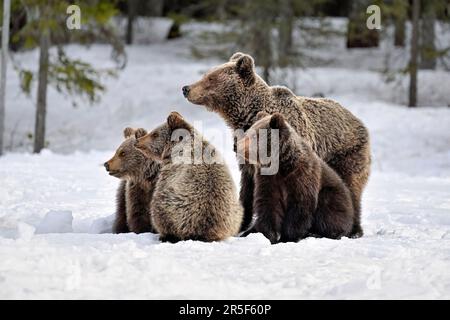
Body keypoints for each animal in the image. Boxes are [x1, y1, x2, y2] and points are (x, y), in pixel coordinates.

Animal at [236, 111, 356, 244]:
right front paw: (268, 235)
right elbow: (268, 204)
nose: (236, 146)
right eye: (247, 132)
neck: (282, 165)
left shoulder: (302, 175)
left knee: (329, 211)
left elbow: (299, 205)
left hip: (335, 196)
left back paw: (319, 233)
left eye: (254, 136)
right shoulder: (267, 179)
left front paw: (287, 238)